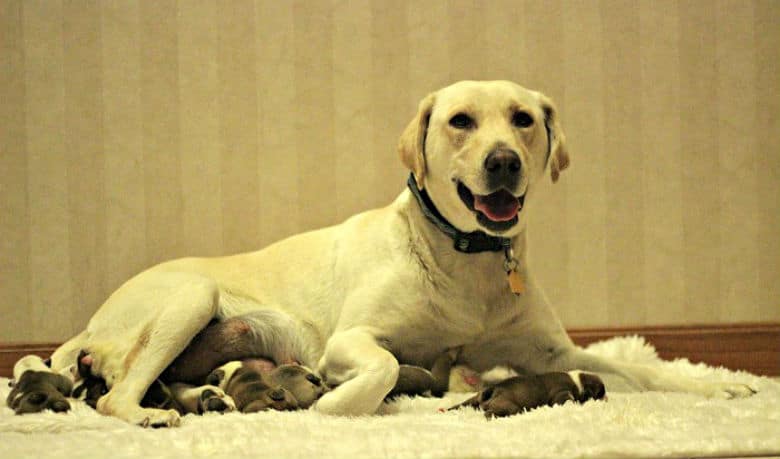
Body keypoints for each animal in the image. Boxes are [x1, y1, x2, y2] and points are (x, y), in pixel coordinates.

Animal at [448, 372, 608, 418]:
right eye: (600, 392)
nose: (607, 398)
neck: (579, 382)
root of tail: (493, 388)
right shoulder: (561, 392)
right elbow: (567, 399)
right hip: (510, 407)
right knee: (489, 413)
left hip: (473, 399)